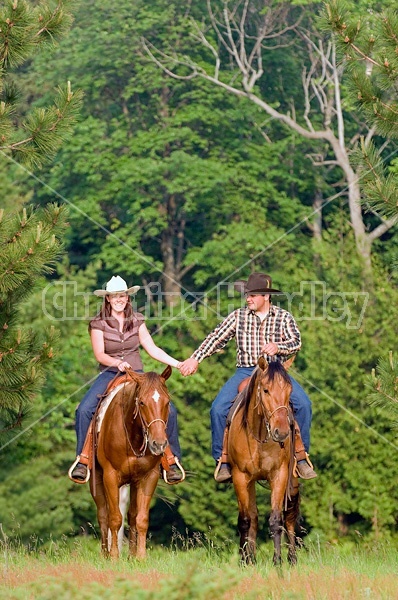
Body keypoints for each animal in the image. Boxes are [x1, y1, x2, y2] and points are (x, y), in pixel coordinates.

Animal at [91, 364, 172, 560]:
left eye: (167, 402)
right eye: (141, 402)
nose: (159, 444)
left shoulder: (148, 477)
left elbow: (141, 519)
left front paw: (140, 557)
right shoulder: (110, 477)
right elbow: (114, 518)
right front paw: (113, 557)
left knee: (132, 514)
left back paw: (131, 555)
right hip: (96, 481)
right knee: (103, 515)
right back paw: (105, 554)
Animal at [229, 356, 300, 568]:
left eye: (289, 390)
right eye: (266, 390)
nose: (282, 432)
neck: (259, 435)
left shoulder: (280, 475)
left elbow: (276, 520)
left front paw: (277, 561)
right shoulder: (240, 477)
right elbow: (245, 519)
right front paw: (245, 560)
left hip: (293, 481)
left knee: (290, 516)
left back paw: (292, 558)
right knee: (252, 516)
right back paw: (250, 557)